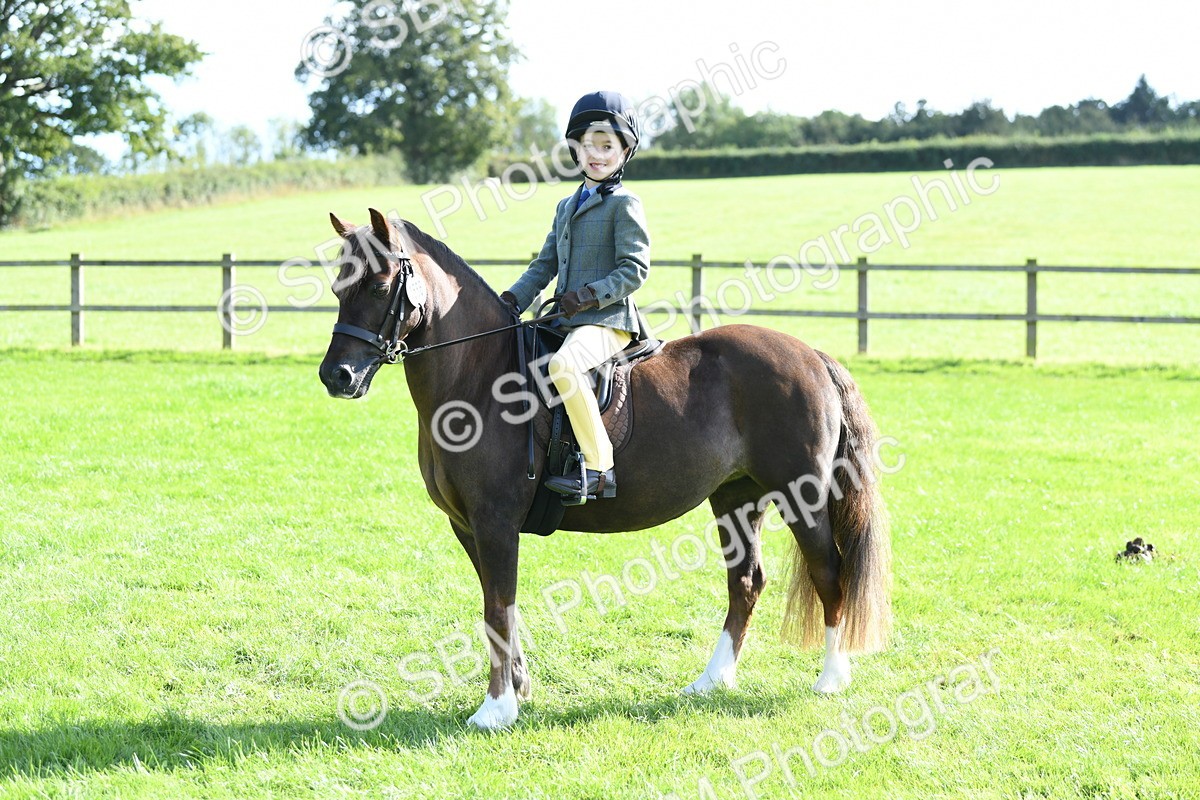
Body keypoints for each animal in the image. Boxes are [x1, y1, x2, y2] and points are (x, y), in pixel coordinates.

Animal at [318, 208, 892, 731]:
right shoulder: (469, 527)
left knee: (829, 571)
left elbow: (498, 608)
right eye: (339, 285)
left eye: (380, 284)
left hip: (801, 495)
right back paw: (711, 681)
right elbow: (500, 609)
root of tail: (811, 355)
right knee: (746, 581)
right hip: (736, 497)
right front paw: (520, 690)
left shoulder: (495, 523)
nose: (335, 376)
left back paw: (831, 679)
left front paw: (495, 710)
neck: (480, 378)